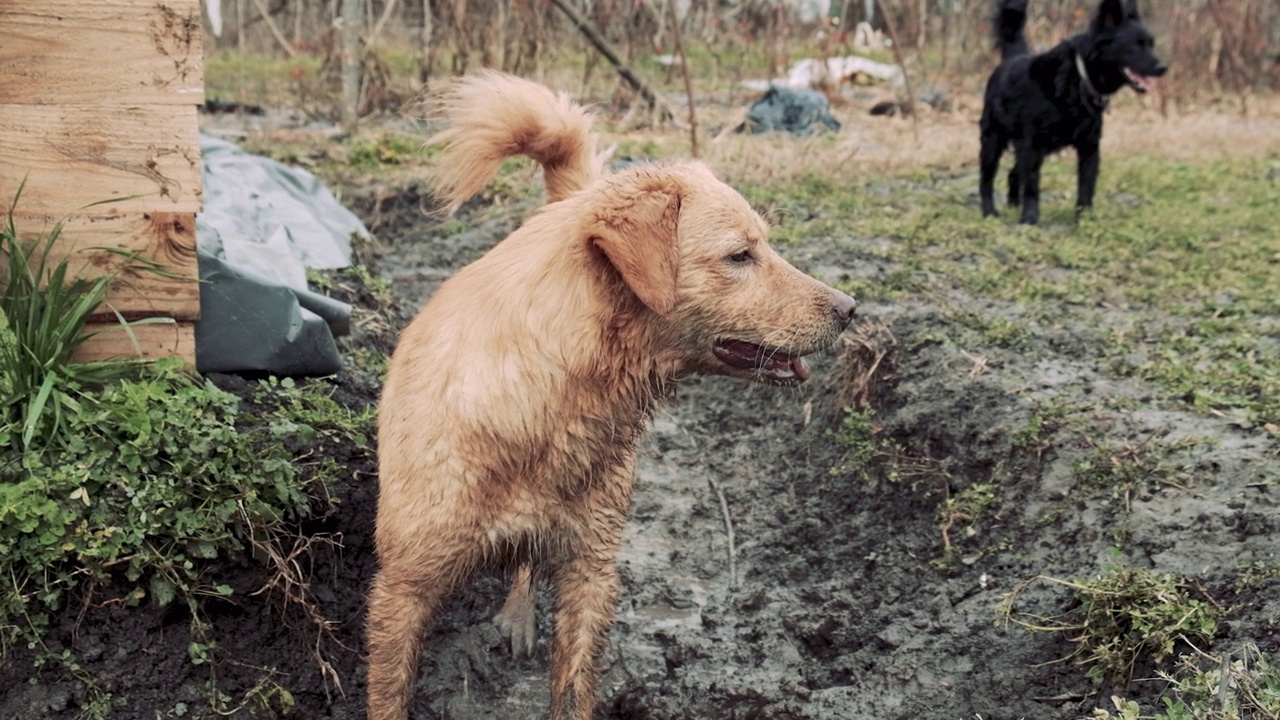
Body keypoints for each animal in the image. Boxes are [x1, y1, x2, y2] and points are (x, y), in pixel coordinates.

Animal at [366, 74, 855, 717]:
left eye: (765, 246)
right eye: (739, 255)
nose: (851, 309)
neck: (554, 400)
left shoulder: (590, 570)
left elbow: (573, 687)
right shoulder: (402, 589)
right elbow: (389, 694)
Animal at [977, 0, 1172, 222]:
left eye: (1151, 44)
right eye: (1135, 46)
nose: (1163, 67)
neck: (1078, 80)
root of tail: (1013, 58)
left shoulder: (1089, 147)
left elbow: (1086, 186)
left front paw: (1084, 218)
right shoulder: (1033, 145)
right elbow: (1033, 186)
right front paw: (1030, 218)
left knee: (1013, 173)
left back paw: (1013, 205)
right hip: (992, 142)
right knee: (986, 180)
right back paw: (989, 212)